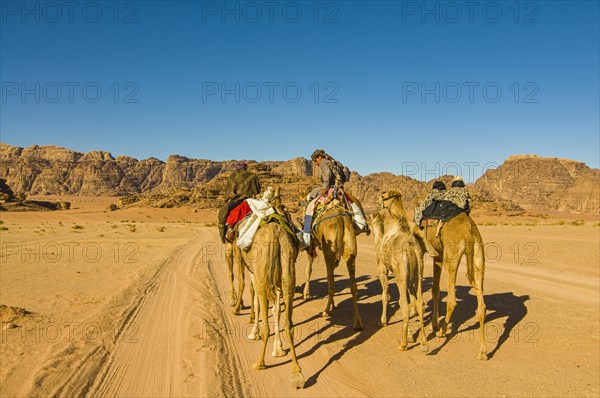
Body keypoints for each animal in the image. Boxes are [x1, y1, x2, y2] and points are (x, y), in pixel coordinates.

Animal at [368, 190, 428, 352]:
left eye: (383, 196)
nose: (366, 220)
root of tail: (412, 248)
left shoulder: (382, 268)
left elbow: (385, 296)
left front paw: (382, 321)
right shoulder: (409, 278)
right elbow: (414, 301)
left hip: (401, 275)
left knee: (404, 305)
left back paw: (403, 344)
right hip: (419, 272)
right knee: (420, 302)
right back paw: (424, 342)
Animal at [422, 211, 488, 360]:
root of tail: (469, 232)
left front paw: (434, 325)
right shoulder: (438, 256)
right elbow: (435, 290)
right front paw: (433, 324)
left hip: (452, 255)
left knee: (452, 301)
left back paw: (442, 331)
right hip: (478, 254)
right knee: (482, 306)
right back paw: (482, 352)